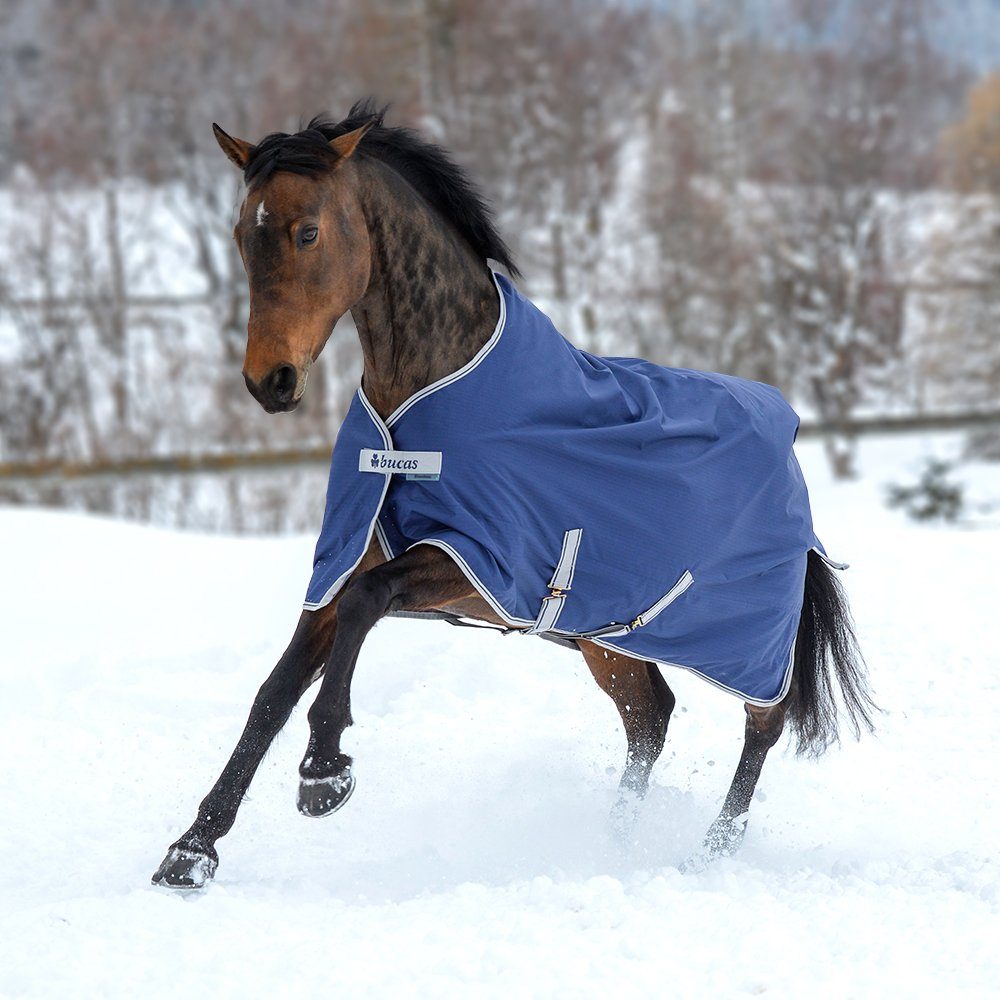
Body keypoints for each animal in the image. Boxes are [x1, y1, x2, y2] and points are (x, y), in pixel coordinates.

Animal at [152, 101, 875, 890]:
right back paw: (612, 845)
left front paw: (323, 773)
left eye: (306, 230)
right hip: (607, 639)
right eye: (240, 233)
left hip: (747, 637)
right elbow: (273, 692)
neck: (419, 407)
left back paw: (708, 852)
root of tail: (786, 433)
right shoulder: (346, 562)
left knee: (762, 724)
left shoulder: (475, 564)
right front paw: (192, 851)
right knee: (649, 718)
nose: (269, 381)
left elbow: (365, 607)